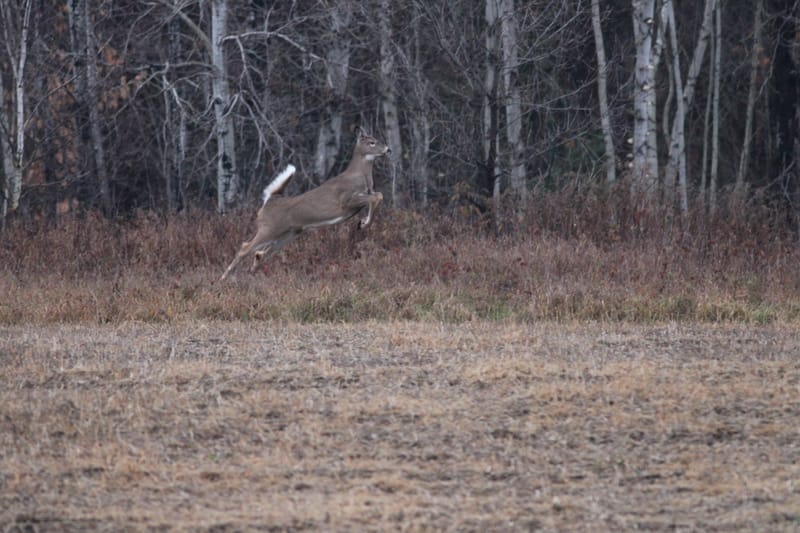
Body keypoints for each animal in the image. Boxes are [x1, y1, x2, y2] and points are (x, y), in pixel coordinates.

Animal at [218, 129, 390, 281]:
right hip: (270, 229)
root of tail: (270, 201)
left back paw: (250, 273)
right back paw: (225, 278)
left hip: (288, 234)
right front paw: (364, 223)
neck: (360, 176)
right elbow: (376, 197)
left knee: (261, 254)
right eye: (372, 142)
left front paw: (362, 222)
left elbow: (378, 195)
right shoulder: (346, 200)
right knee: (245, 248)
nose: (387, 149)